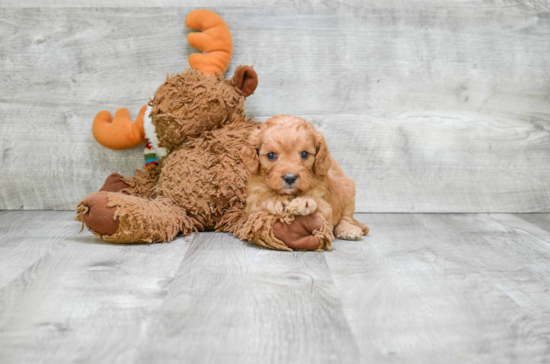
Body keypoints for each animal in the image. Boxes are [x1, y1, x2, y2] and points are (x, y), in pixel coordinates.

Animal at [237, 115, 370, 252]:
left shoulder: (325, 204)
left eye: (305, 154)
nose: (290, 178)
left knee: (346, 217)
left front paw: (303, 201)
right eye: (271, 155)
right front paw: (276, 200)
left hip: (348, 191)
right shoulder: (252, 202)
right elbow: (261, 199)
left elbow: (317, 202)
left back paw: (348, 230)